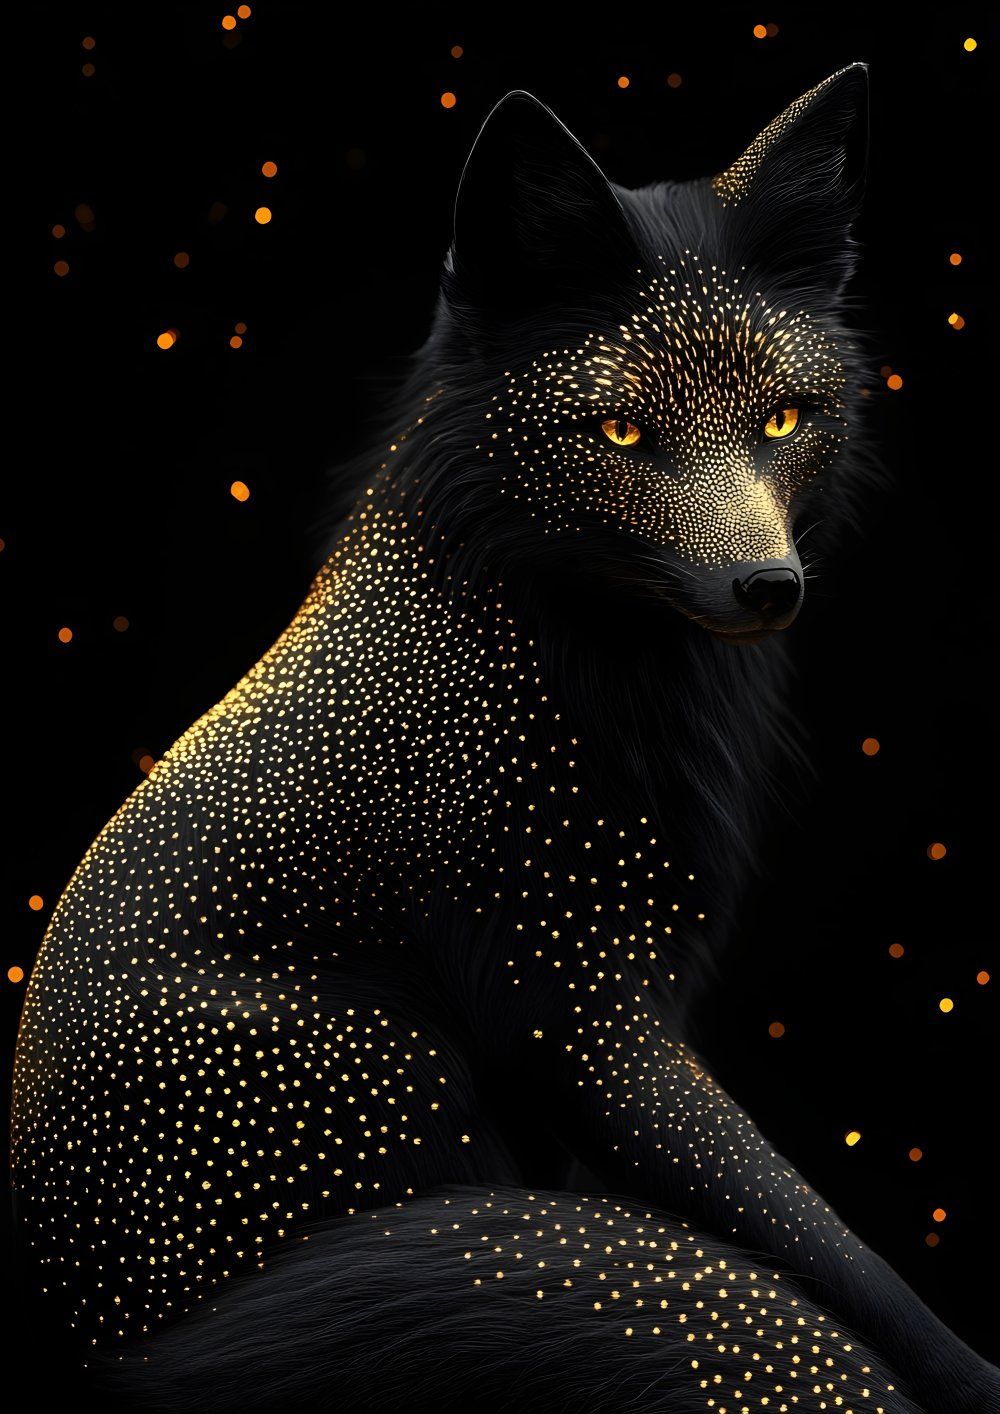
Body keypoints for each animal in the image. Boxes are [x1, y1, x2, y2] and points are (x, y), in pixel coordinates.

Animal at [12, 65, 999, 1412]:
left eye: (785, 419)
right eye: (622, 434)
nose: (767, 587)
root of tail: (98, 1340)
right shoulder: (578, 1010)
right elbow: (827, 1249)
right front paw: (968, 1376)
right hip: (401, 1076)